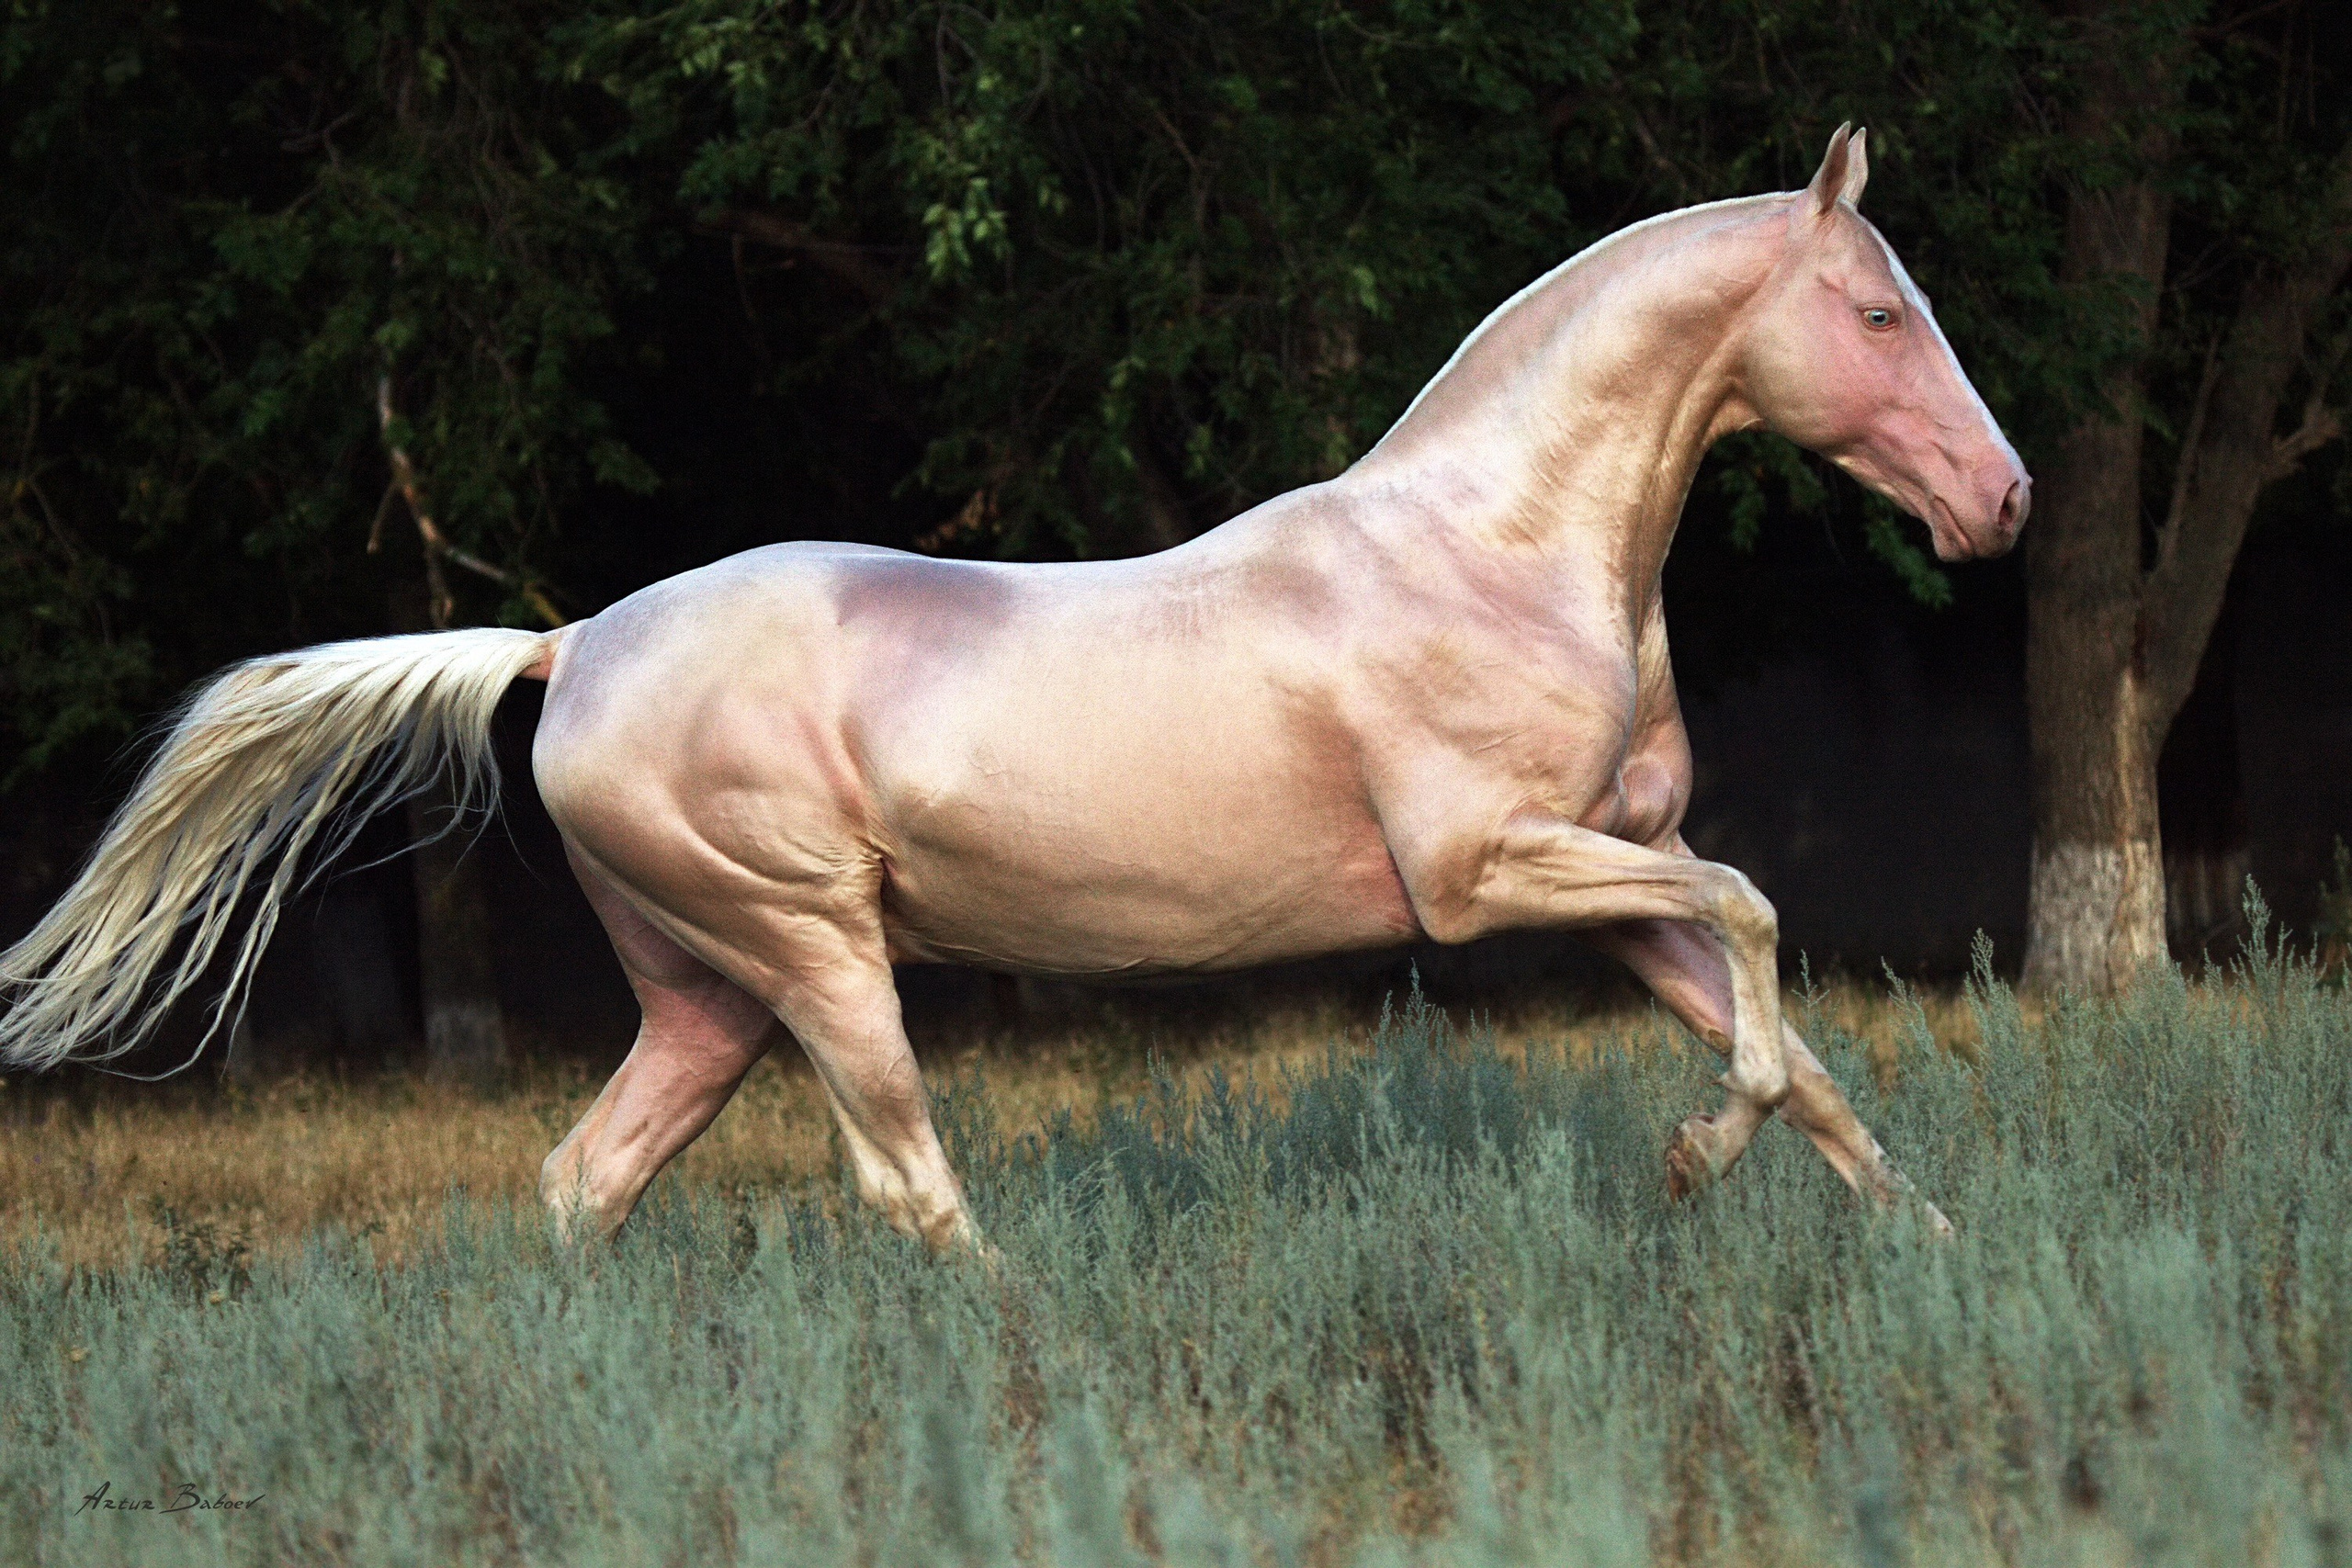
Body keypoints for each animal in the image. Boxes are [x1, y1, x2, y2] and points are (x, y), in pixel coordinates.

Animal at [0, 126, 2025, 1251]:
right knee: (903, 1183)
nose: (1998, 499)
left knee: (586, 1178)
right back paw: (1038, 1358)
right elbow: (1758, 920)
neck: (1492, 548)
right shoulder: (1485, 872)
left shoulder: (1606, 881)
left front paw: (1925, 1241)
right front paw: (1686, 1164)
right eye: (1876, 313)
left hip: (707, 1000)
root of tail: (572, 646)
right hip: (815, 952)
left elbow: (1798, 1051)